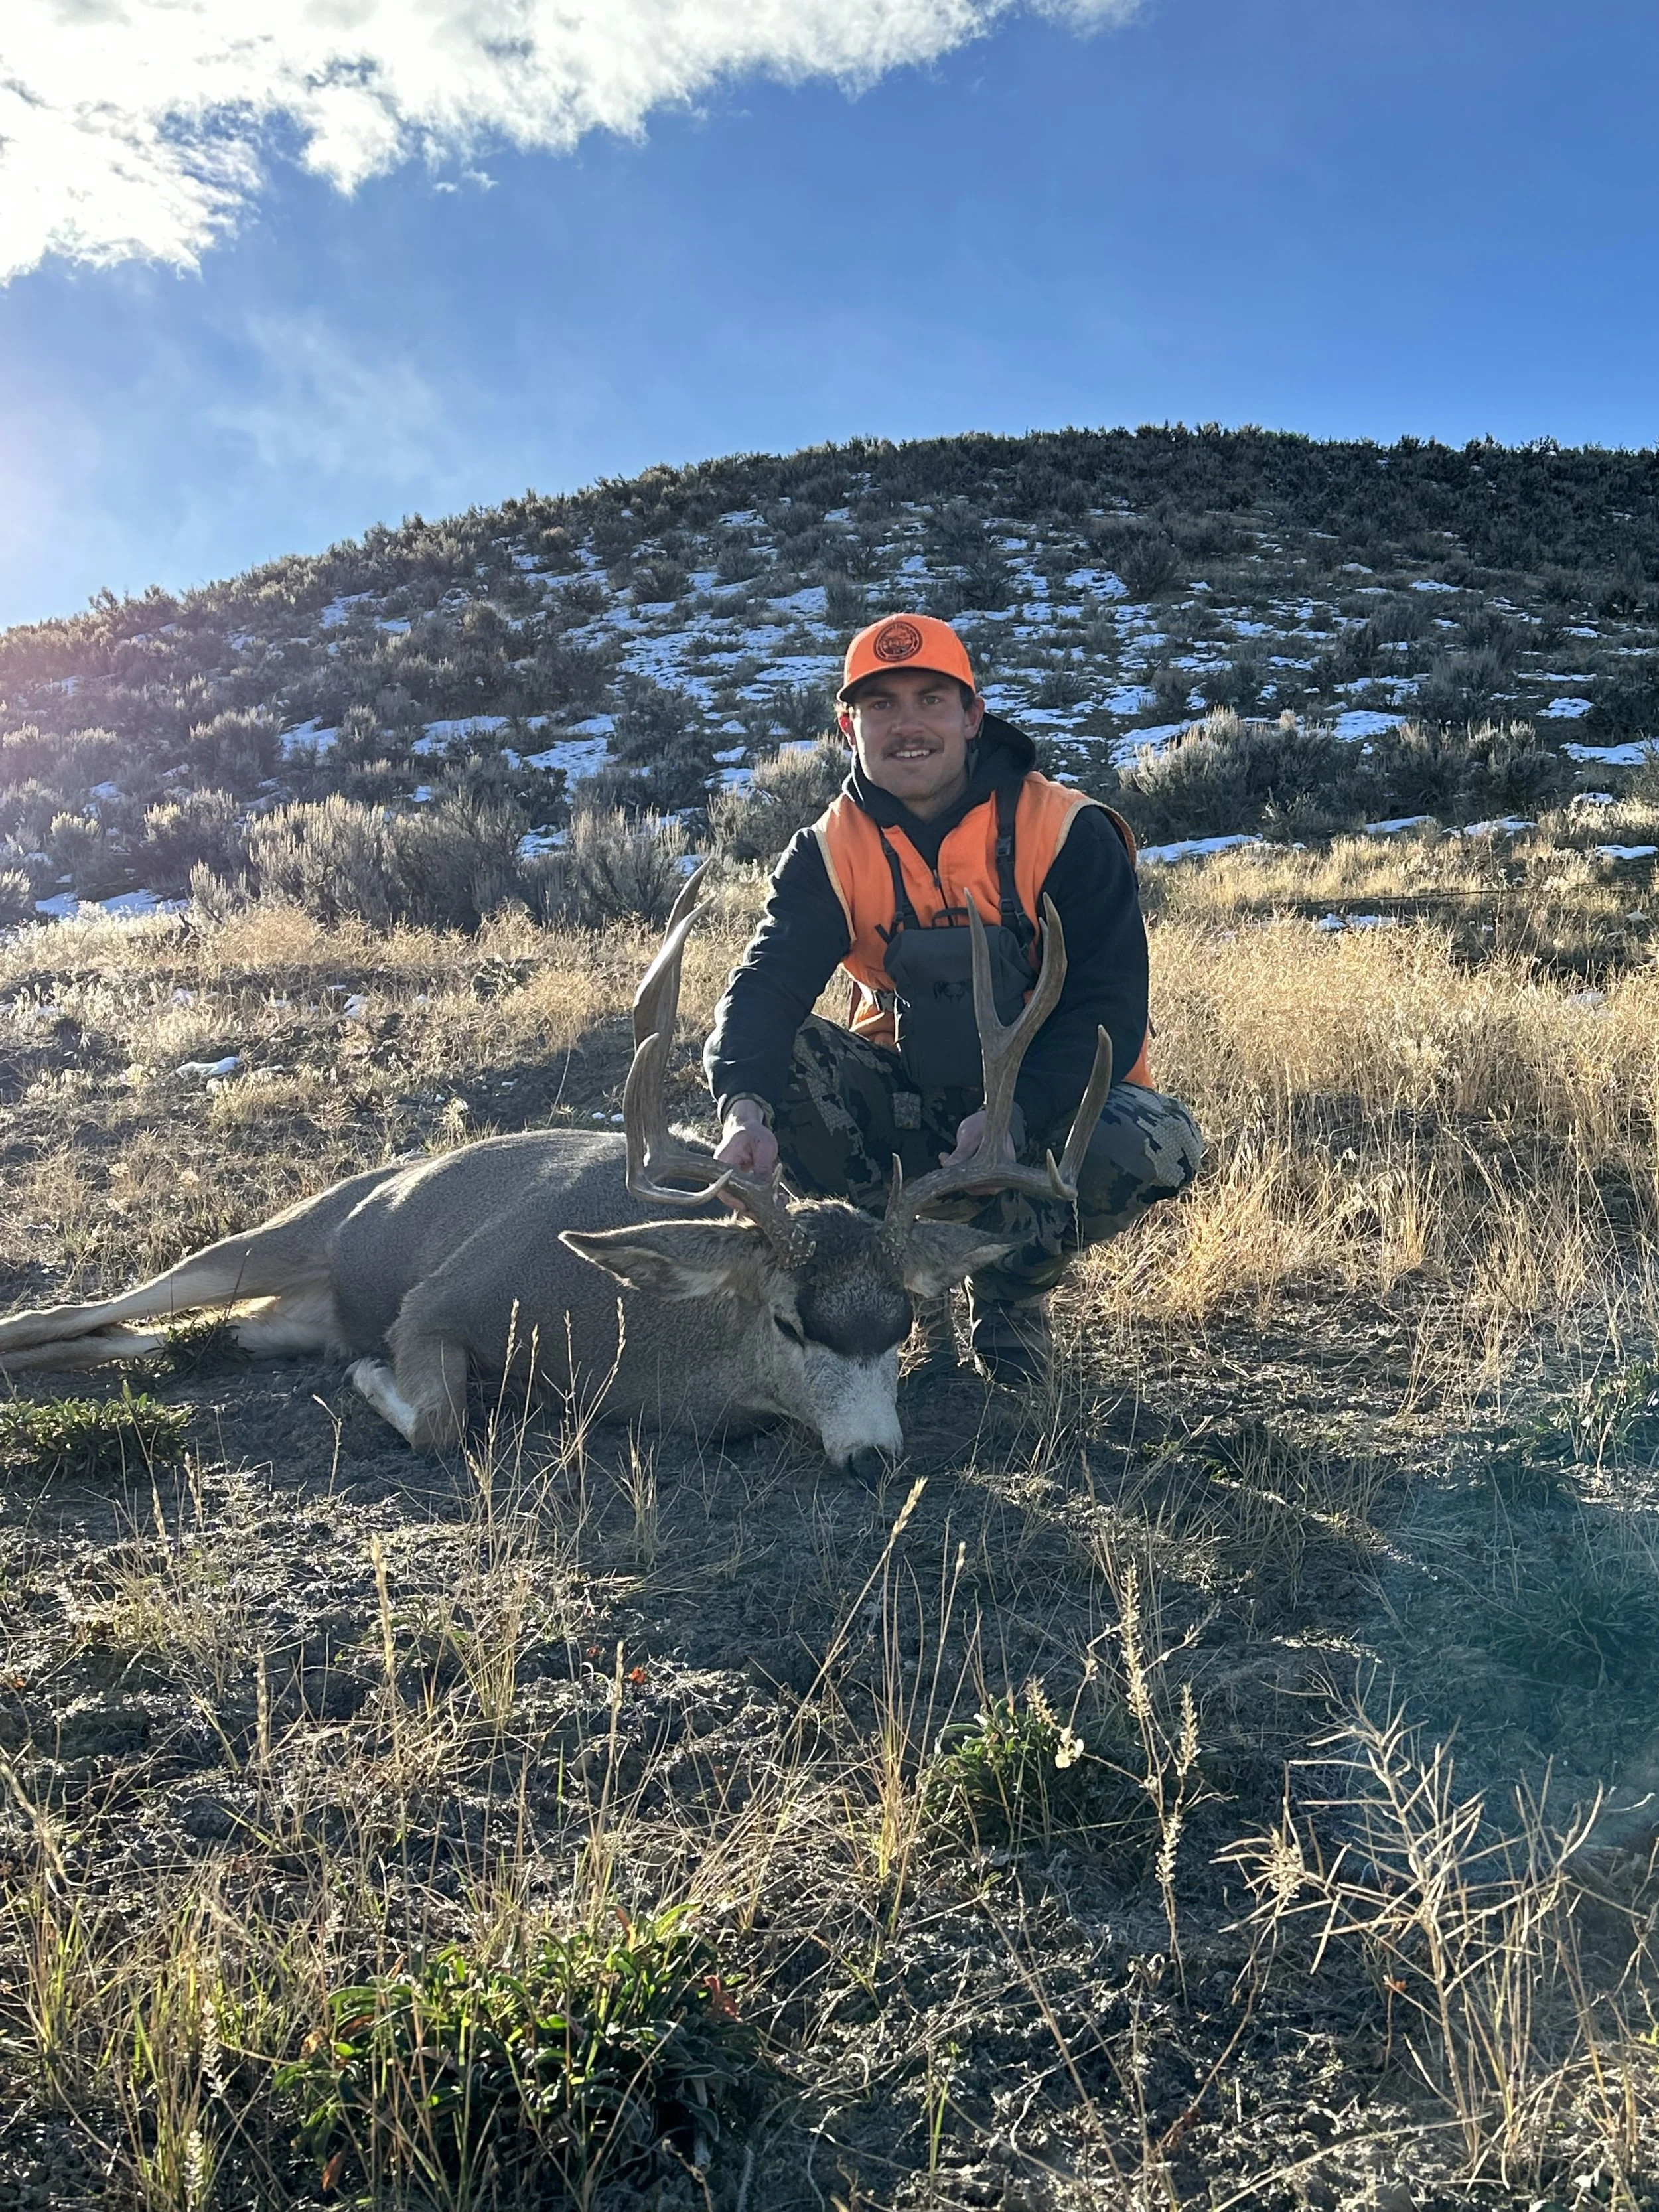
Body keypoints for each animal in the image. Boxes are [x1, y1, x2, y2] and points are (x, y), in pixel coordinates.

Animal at [0, 865, 1112, 1481]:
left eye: (903, 1325)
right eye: (791, 1322)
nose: (875, 1460)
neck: (619, 1337)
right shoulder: (442, 1297)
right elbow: (441, 1421)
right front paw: (369, 1377)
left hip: (276, 1308)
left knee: (180, 1335)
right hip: (277, 1234)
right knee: (80, 1306)